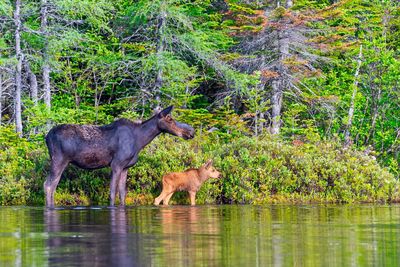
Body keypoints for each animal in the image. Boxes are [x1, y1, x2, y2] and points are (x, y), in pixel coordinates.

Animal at [43, 105, 194, 208]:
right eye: (170, 119)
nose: (191, 131)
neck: (140, 141)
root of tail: (46, 137)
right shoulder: (116, 164)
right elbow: (112, 193)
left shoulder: (126, 167)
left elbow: (122, 194)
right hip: (59, 160)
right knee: (49, 185)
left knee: (52, 186)